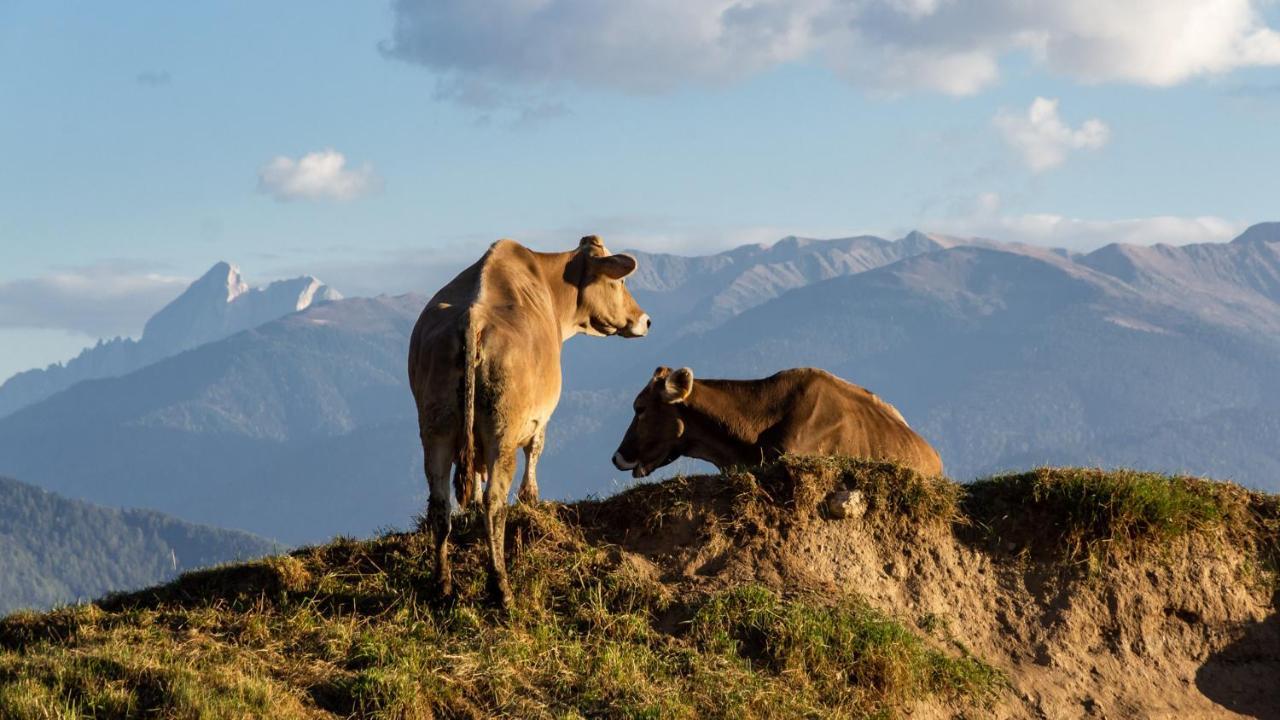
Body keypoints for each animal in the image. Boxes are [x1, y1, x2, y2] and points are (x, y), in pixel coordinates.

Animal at [409, 235, 650, 604]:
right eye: (620, 282)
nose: (645, 319)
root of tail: (471, 322)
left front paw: (473, 501)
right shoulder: (542, 413)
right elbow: (536, 449)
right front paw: (531, 497)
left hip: (436, 428)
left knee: (439, 504)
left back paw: (443, 585)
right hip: (502, 431)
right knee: (495, 502)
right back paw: (501, 587)